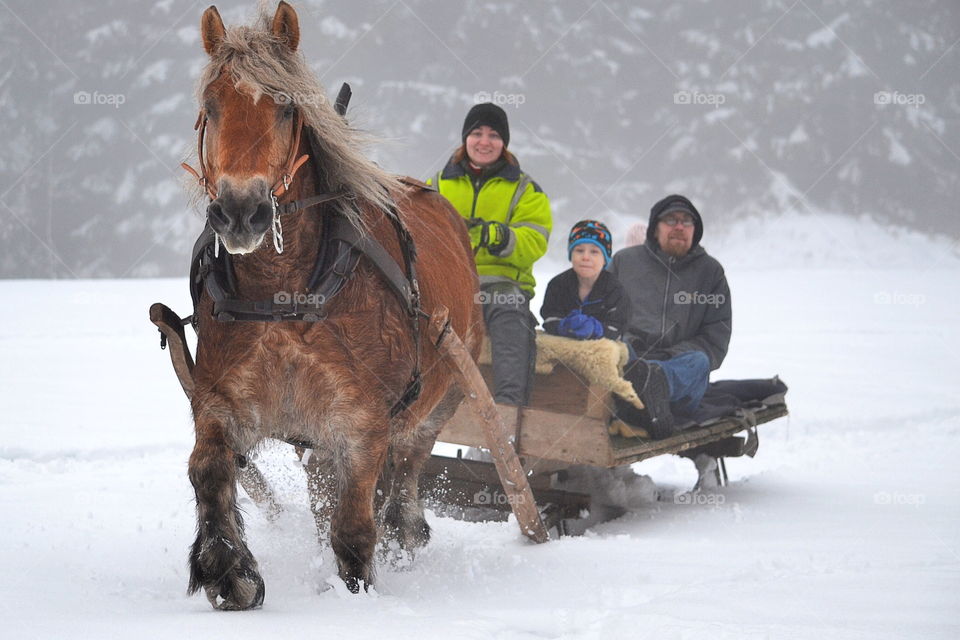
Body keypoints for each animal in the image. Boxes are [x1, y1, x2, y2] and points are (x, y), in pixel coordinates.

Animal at [182, 1, 480, 608]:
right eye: (210, 106)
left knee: (405, 479)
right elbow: (207, 470)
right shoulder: (222, 400)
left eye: (285, 107)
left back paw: (407, 535)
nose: (241, 212)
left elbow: (354, 530)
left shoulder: (364, 425)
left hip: (442, 398)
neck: (285, 295)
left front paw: (354, 595)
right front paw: (228, 570)